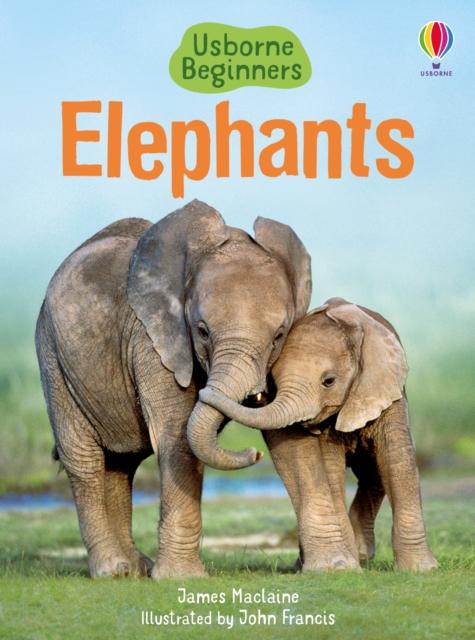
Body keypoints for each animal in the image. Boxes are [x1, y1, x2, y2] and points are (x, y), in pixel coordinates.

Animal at [35, 199, 313, 578]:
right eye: (202, 331)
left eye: (279, 336)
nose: (254, 454)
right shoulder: (152, 340)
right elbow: (177, 434)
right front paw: (182, 577)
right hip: (53, 355)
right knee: (84, 458)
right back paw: (113, 570)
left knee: (120, 464)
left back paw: (135, 568)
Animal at [200, 297, 438, 571]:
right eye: (274, 382)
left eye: (329, 381)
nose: (255, 454)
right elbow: (331, 469)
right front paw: (344, 567)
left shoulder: (387, 392)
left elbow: (397, 460)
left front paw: (423, 569)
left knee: (373, 471)